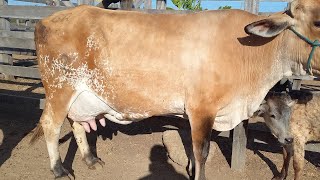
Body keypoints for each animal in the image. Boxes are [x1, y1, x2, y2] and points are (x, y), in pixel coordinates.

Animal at [31, 0, 320, 179]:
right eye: (317, 22)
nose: (288, 139)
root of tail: (45, 21)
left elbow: (193, 152)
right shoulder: (202, 109)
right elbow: (202, 152)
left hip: (78, 95)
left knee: (77, 124)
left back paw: (90, 160)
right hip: (59, 88)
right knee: (51, 125)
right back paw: (59, 170)